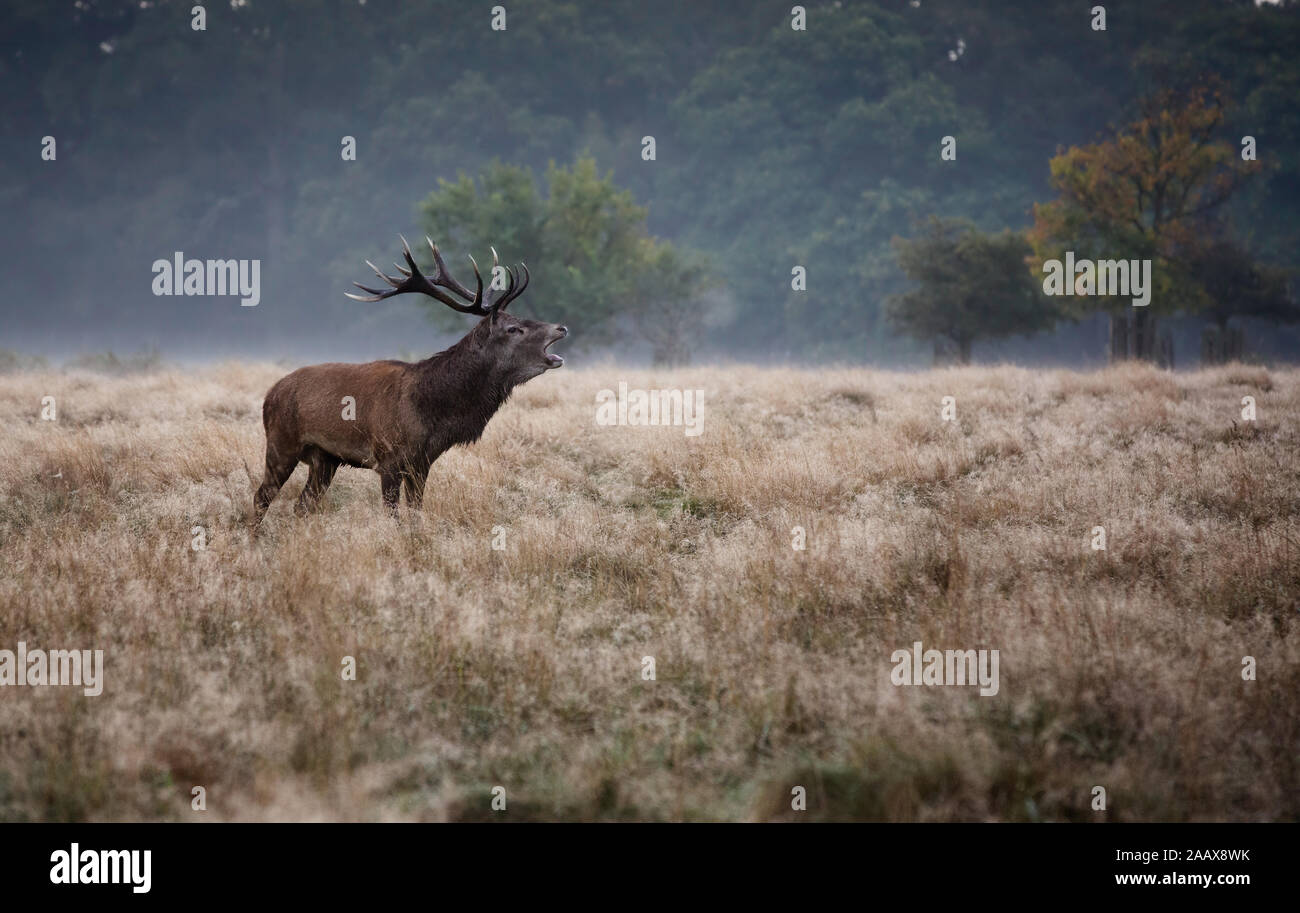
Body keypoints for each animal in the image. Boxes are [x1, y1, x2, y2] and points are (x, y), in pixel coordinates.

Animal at [251, 236, 567, 528]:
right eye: (514, 328)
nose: (561, 327)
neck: (431, 412)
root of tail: (269, 394)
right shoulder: (388, 460)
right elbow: (393, 517)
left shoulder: (421, 464)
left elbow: (416, 514)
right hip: (281, 442)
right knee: (261, 496)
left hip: (324, 458)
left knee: (302, 504)